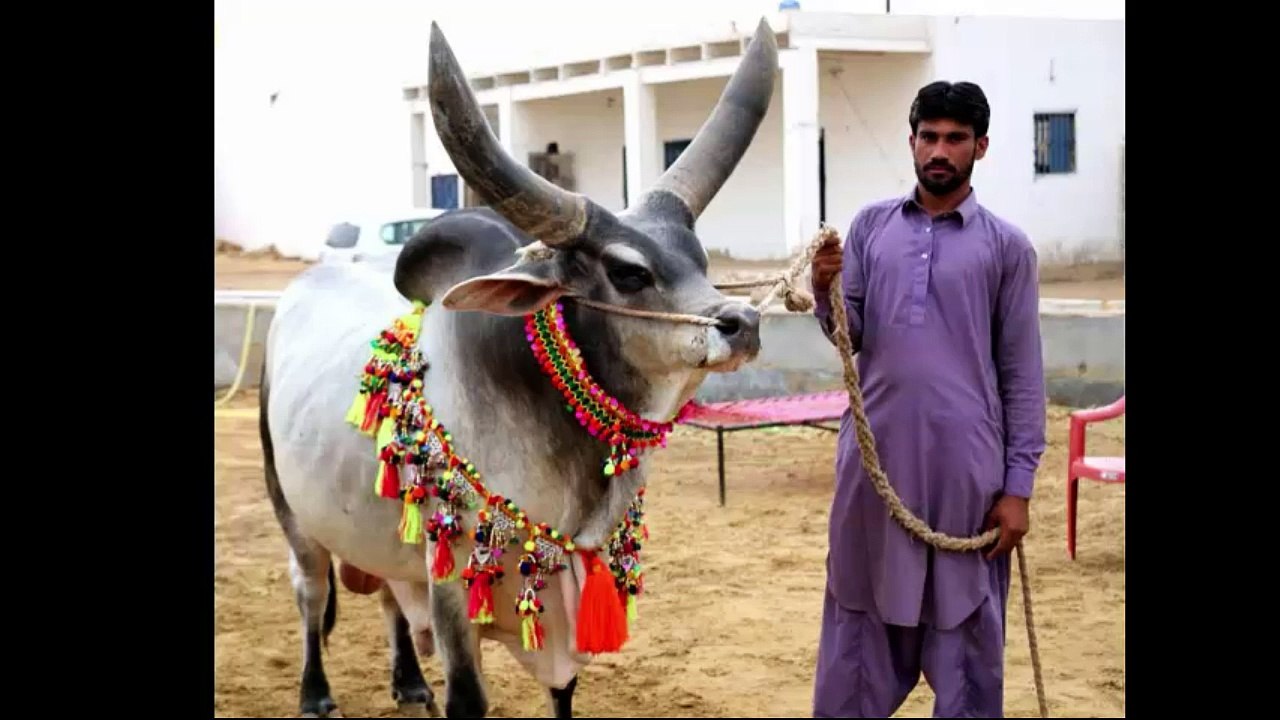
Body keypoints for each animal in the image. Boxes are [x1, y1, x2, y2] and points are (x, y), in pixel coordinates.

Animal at [258, 18, 779, 719]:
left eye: (699, 259)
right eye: (628, 272)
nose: (742, 322)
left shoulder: (568, 590)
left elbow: (562, 689)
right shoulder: (453, 582)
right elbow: (468, 696)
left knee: (390, 596)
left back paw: (408, 681)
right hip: (291, 510)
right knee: (311, 592)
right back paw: (315, 692)